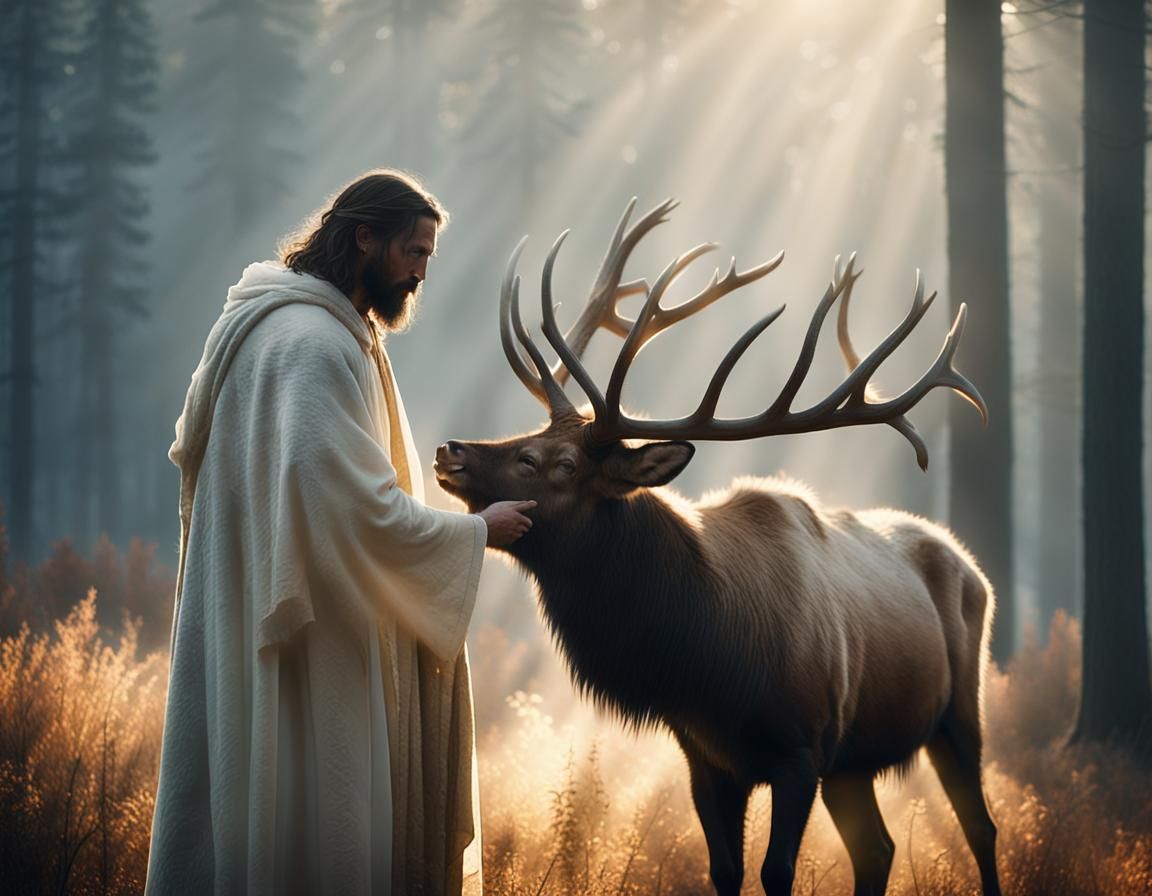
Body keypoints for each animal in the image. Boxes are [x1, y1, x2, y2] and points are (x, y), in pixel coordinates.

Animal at [433, 199, 1001, 896]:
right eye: (530, 435)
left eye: (558, 463)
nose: (451, 450)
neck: (712, 667)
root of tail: (970, 564)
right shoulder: (706, 758)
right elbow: (725, 871)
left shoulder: (801, 750)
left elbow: (777, 872)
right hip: (854, 761)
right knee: (879, 847)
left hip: (960, 714)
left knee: (980, 829)